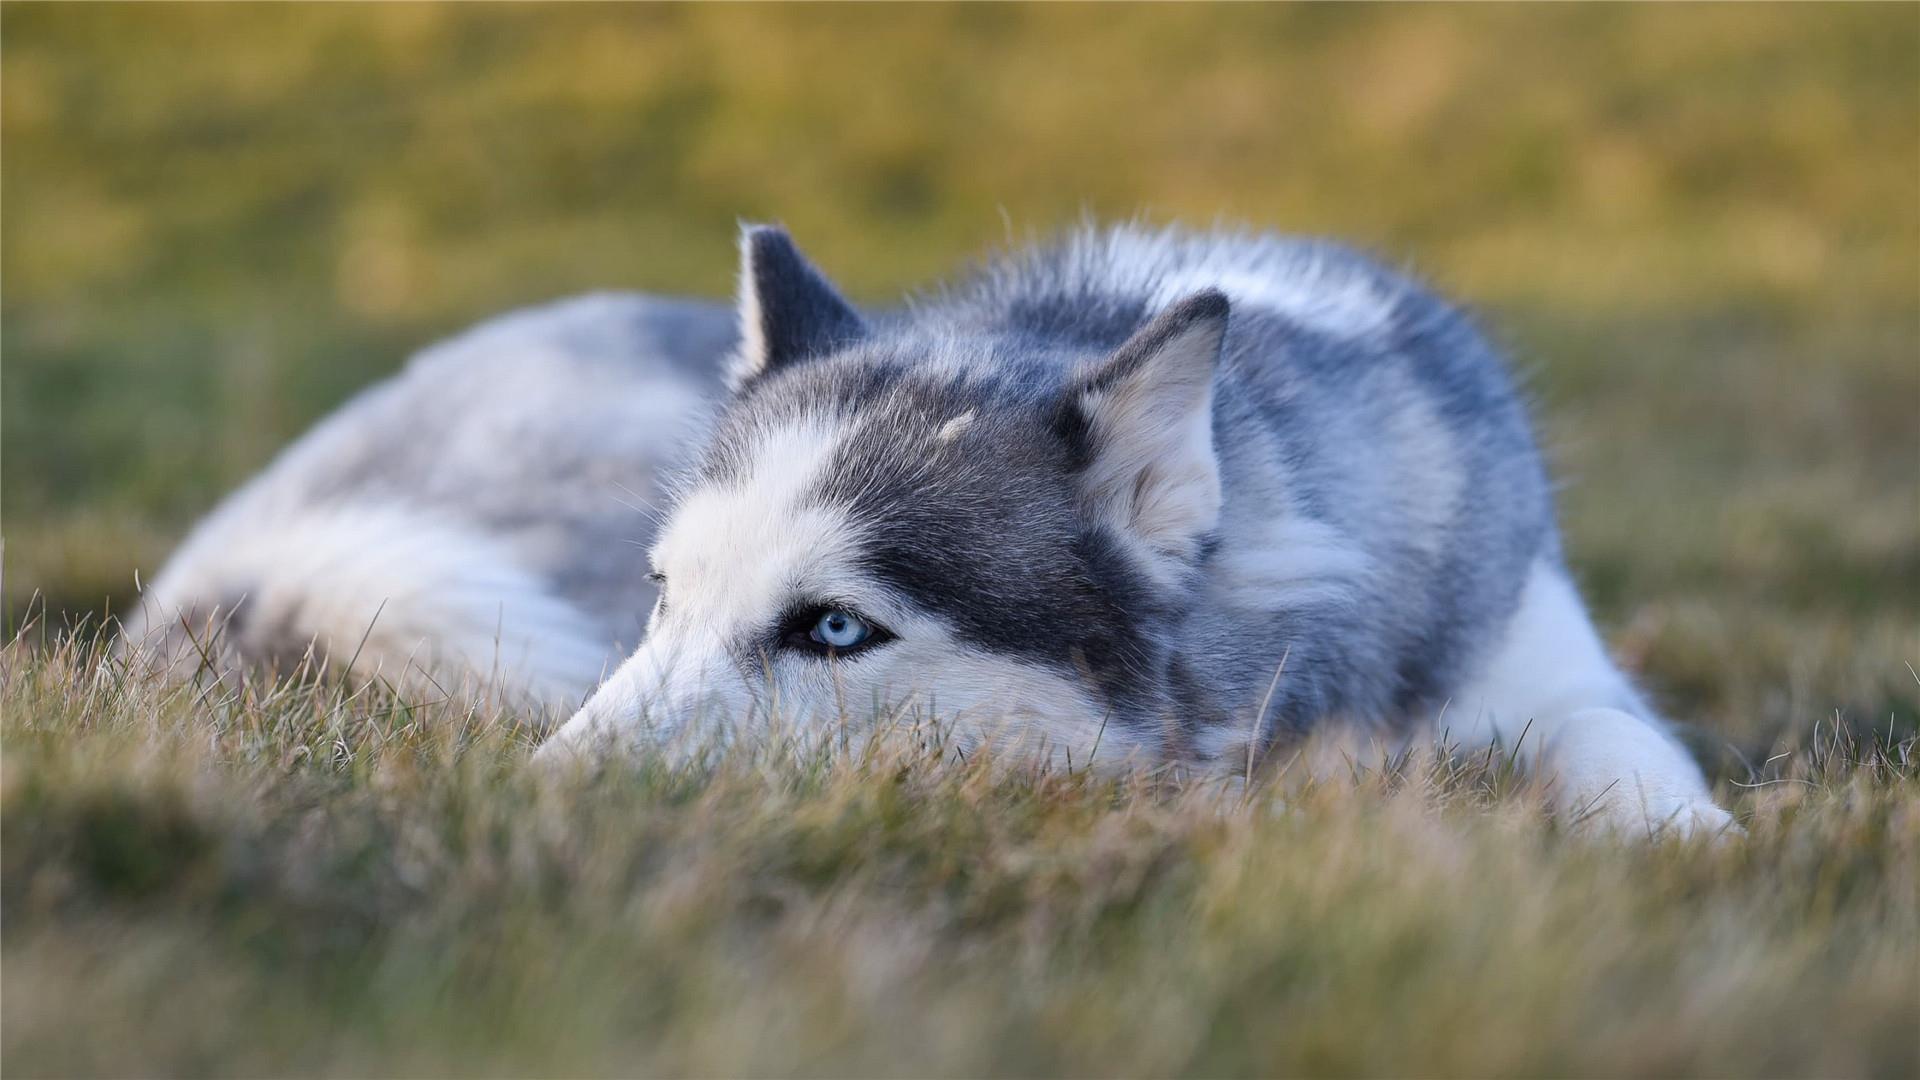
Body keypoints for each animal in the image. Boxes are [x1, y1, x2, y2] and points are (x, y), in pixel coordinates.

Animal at [541, 224, 1743, 834]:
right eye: (665, 593)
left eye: (835, 630)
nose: (545, 790)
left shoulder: (1544, 664)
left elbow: (1611, 734)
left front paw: (1683, 836)